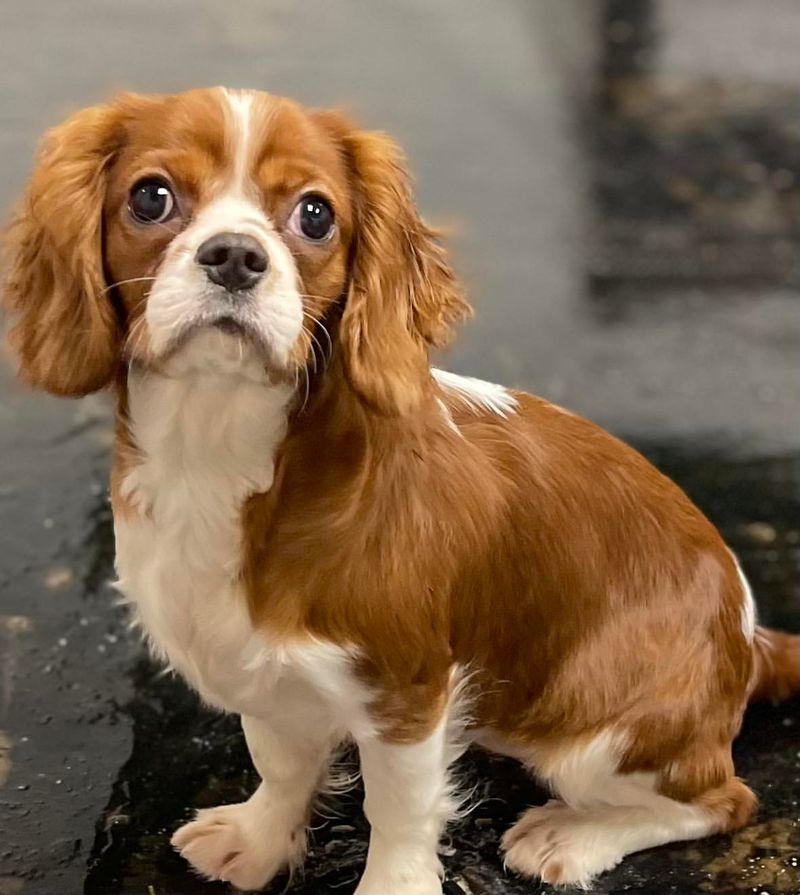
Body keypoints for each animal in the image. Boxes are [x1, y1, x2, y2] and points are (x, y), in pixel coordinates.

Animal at [3, 86, 796, 895]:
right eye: (150, 197)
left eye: (315, 214)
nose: (234, 256)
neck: (217, 443)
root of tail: (752, 636)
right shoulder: (262, 669)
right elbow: (280, 761)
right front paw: (260, 839)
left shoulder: (406, 690)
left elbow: (399, 808)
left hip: (589, 723)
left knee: (720, 799)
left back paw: (571, 836)